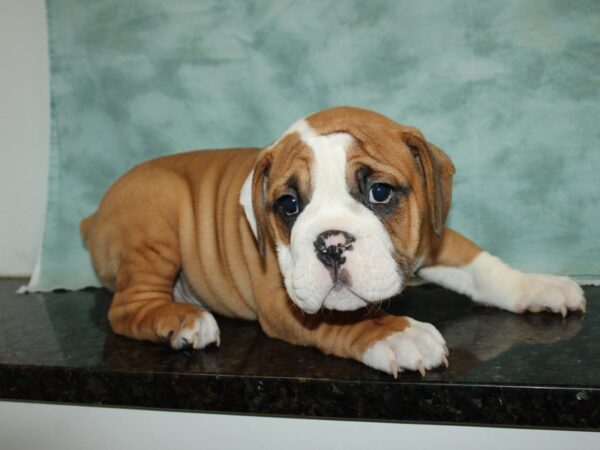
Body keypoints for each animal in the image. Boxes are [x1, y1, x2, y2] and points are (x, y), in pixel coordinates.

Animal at [79, 105, 584, 376]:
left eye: (379, 192)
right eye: (288, 205)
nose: (331, 243)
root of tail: (92, 217)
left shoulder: (434, 237)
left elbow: (483, 266)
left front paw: (538, 285)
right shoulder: (282, 300)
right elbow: (341, 321)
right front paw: (396, 333)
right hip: (156, 220)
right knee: (127, 308)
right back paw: (182, 320)